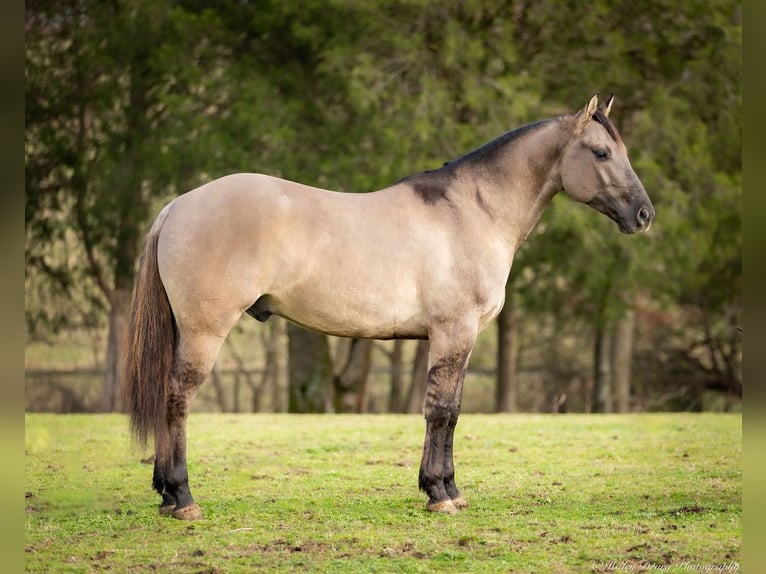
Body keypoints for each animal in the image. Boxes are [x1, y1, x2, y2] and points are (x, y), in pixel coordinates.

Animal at [124, 93, 656, 520]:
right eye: (602, 152)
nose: (644, 215)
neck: (472, 211)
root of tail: (178, 205)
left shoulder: (459, 339)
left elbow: (452, 410)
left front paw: (448, 489)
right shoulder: (453, 332)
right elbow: (439, 411)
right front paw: (439, 493)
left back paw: (166, 495)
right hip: (204, 331)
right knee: (177, 399)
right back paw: (182, 498)